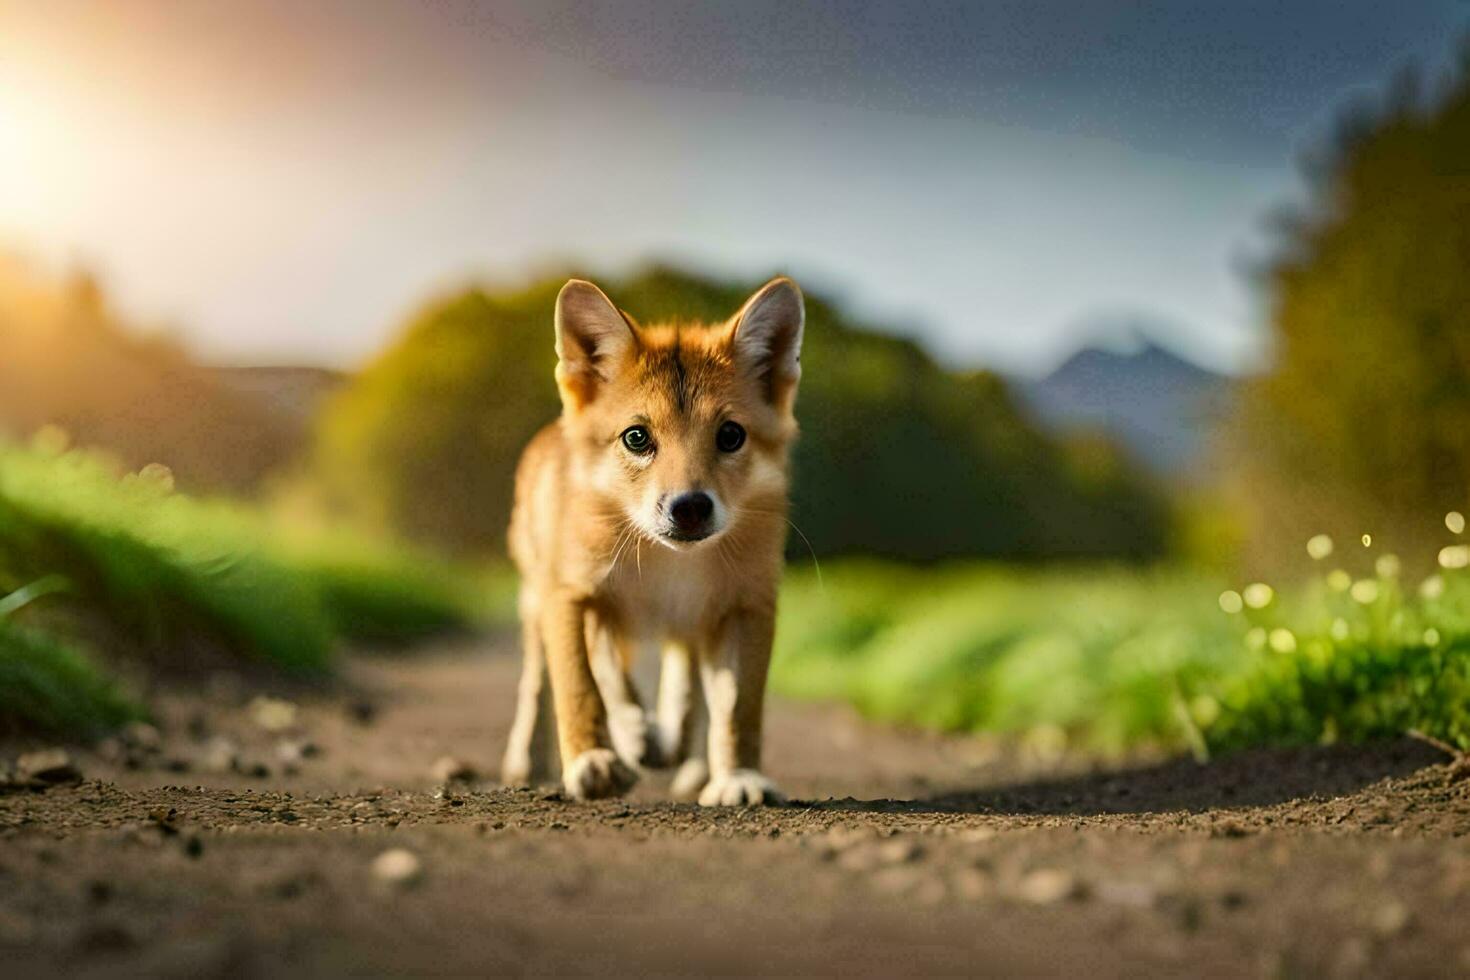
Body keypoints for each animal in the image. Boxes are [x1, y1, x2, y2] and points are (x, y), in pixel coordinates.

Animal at [502, 277, 805, 805]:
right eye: (637, 437)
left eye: (730, 435)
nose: (689, 507)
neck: (666, 569)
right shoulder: (573, 596)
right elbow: (581, 684)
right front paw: (597, 757)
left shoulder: (745, 606)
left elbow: (737, 708)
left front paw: (738, 776)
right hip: (537, 602)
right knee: (540, 681)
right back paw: (540, 756)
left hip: (693, 620)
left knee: (684, 675)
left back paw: (683, 755)